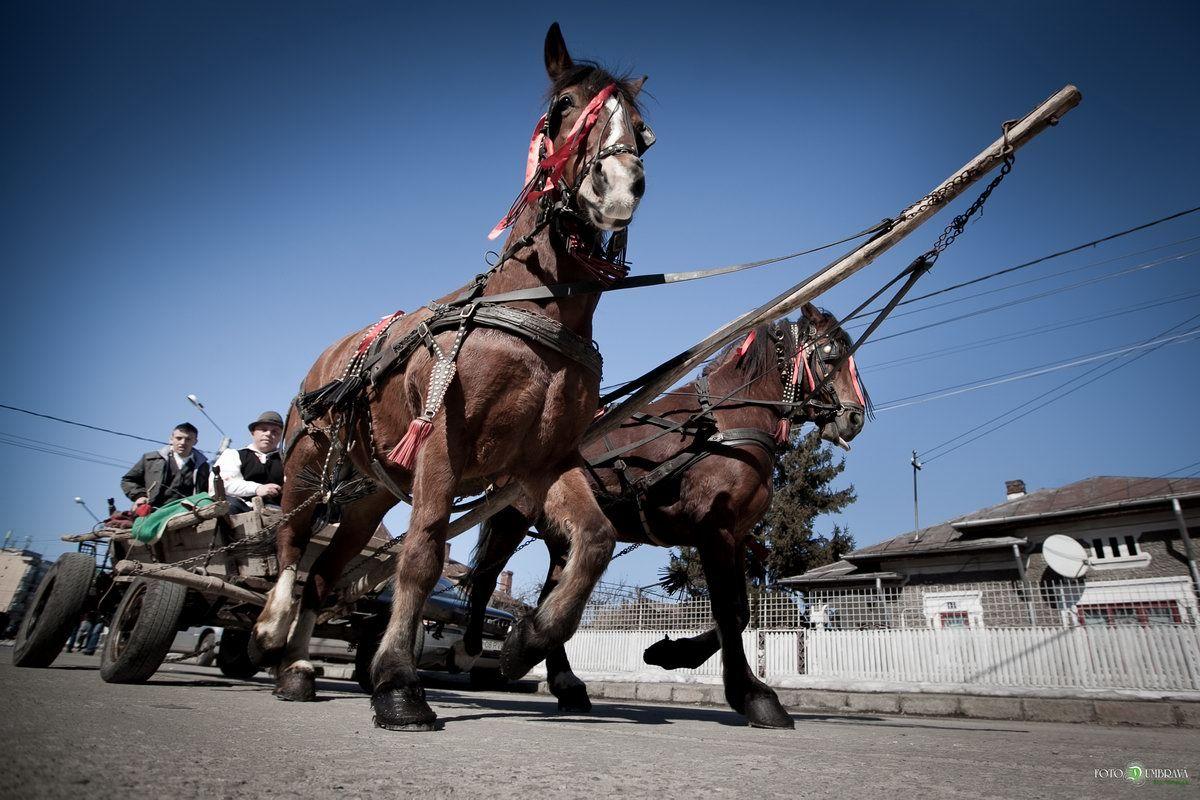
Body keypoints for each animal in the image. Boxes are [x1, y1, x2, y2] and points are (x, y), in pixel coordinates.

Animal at [249, 22, 654, 731]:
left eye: (643, 129)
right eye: (564, 106)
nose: (620, 183)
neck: (533, 307)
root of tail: (331, 356)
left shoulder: (542, 463)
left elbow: (595, 542)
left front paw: (527, 641)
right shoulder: (442, 443)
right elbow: (421, 556)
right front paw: (397, 682)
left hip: (369, 496)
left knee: (326, 575)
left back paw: (295, 668)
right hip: (304, 469)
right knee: (293, 546)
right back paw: (275, 631)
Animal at [463, 303, 869, 728]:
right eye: (831, 355)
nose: (855, 418)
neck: (727, 420)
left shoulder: (737, 537)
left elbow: (740, 613)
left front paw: (671, 654)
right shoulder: (715, 531)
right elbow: (728, 612)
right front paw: (752, 696)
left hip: (561, 532)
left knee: (552, 589)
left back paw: (563, 680)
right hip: (513, 515)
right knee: (487, 574)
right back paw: (483, 643)